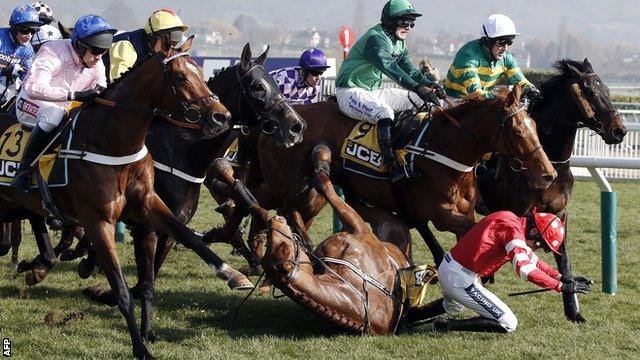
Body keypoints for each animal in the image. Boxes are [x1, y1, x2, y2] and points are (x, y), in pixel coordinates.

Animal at [0, 38, 246, 358]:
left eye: (202, 75)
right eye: (180, 77)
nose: (221, 116)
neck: (112, 143)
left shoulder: (148, 205)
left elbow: (187, 240)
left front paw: (233, 275)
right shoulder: (98, 222)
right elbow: (121, 289)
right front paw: (140, 347)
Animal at [478, 57, 628, 322]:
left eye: (608, 91)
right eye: (590, 92)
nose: (619, 131)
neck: (549, 158)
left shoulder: (559, 213)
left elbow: (564, 259)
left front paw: (574, 310)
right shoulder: (520, 212)